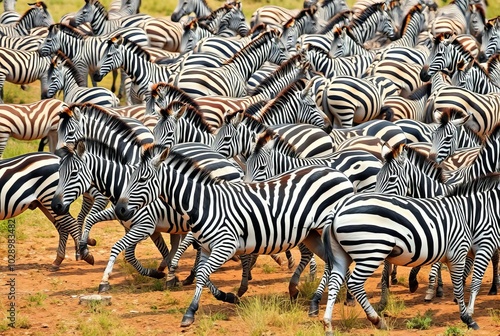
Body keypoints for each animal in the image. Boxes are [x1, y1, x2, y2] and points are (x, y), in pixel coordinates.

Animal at [113, 143, 356, 326]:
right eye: (129, 177)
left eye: (142, 179)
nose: (120, 210)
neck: (204, 204)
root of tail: (340, 174)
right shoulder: (206, 247)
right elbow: (202, 275)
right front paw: (227, 296)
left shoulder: (226, 245)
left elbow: (203, 274)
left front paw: (190, 312)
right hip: (313, 235)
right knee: (335, 263)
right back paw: (336, 299)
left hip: (324, 231)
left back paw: (323, 300)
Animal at [320, 173, 500, 334]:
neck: (473, 214)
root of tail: (338, 208)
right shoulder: (463, 251)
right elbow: (463, 285)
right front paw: (468, 318)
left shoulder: (465, 252)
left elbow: (463, 281)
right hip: (372, 251)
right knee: (354, 283)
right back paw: (377, 321)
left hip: (342, 254)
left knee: (335, 281)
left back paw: (328, 324)